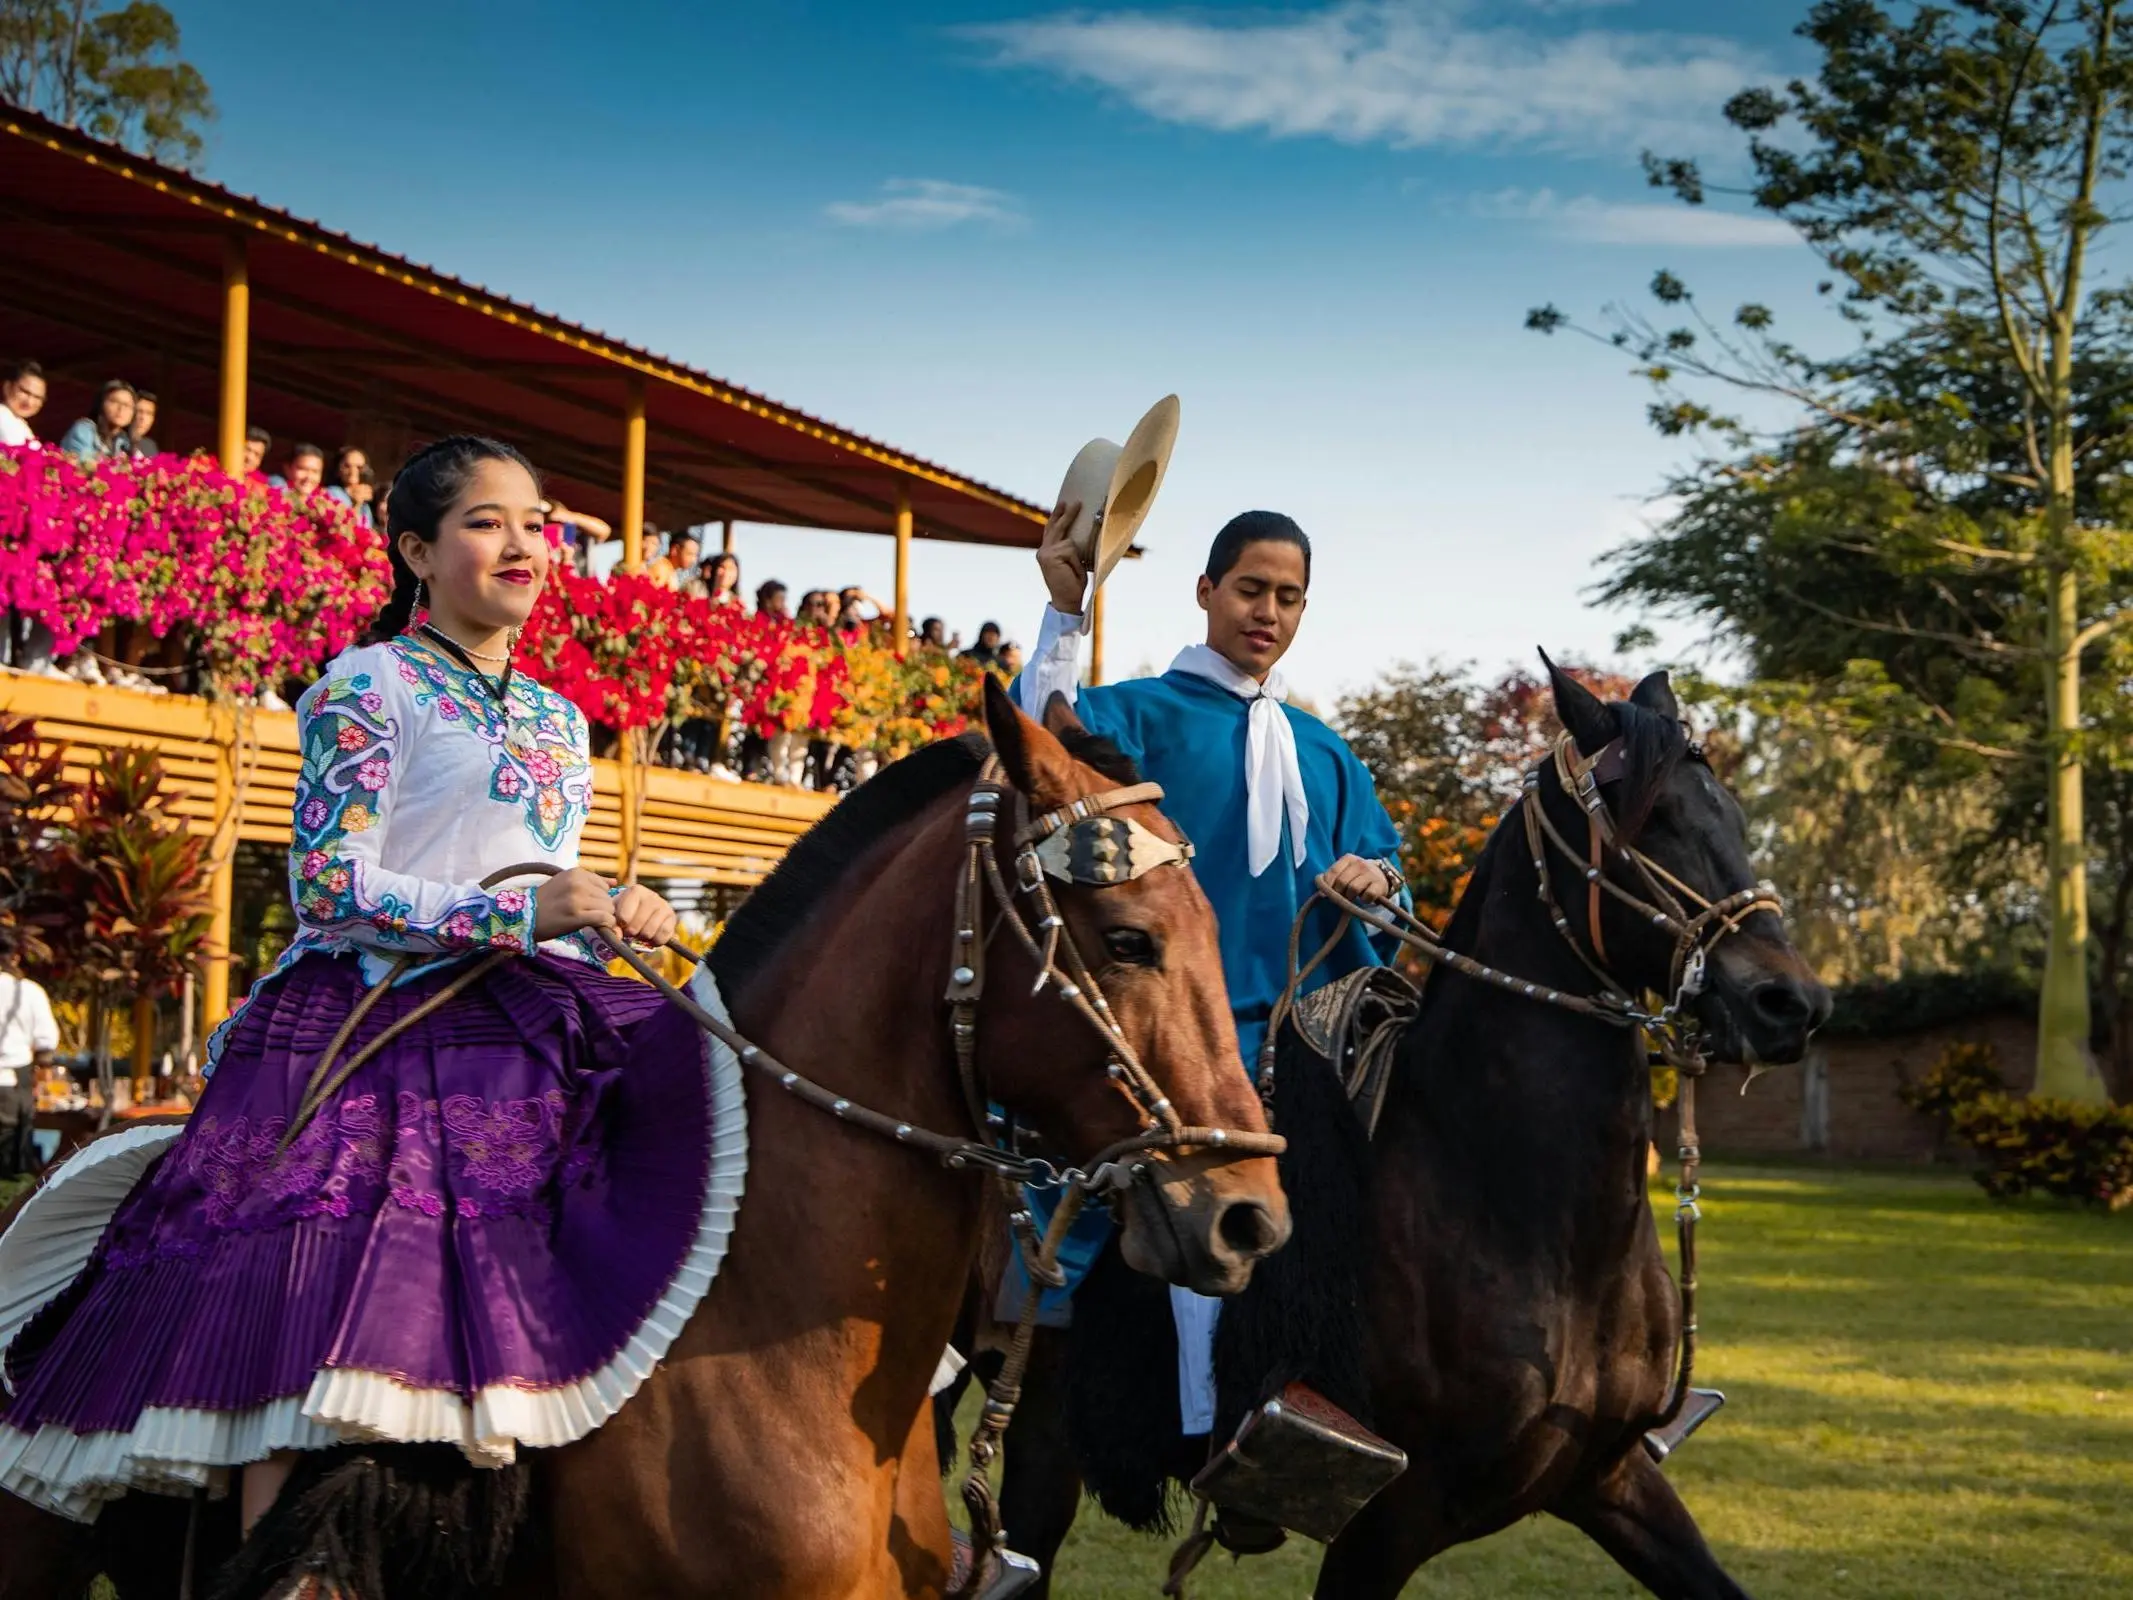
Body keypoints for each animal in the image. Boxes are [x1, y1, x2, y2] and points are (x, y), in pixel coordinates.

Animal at [976, 665, 1825, 1600]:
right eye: (1654, 816)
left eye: (1731, 814)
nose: (1787, 1002)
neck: (1525, 1217)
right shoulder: (1387, 1520)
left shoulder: (1608, 1478)